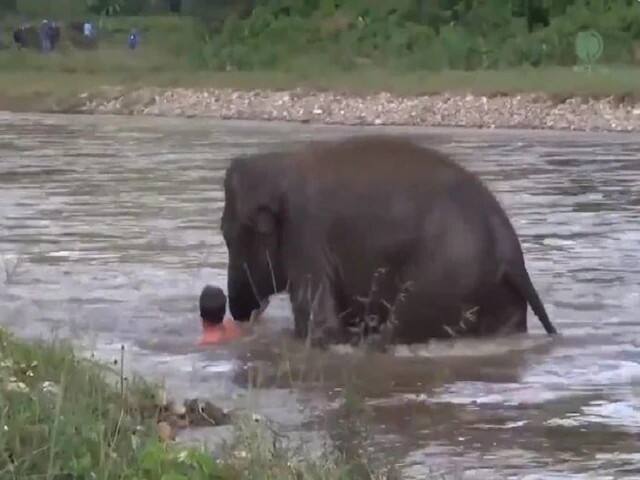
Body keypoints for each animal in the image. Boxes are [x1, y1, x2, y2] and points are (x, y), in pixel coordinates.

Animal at [220, 135, 557, 347]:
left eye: (226, 234)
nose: (237, 313)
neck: (280, 165)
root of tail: (510, 252)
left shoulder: (305, 234)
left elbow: (320, 325)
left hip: (442, 278)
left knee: (398, 327)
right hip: (497, 296)